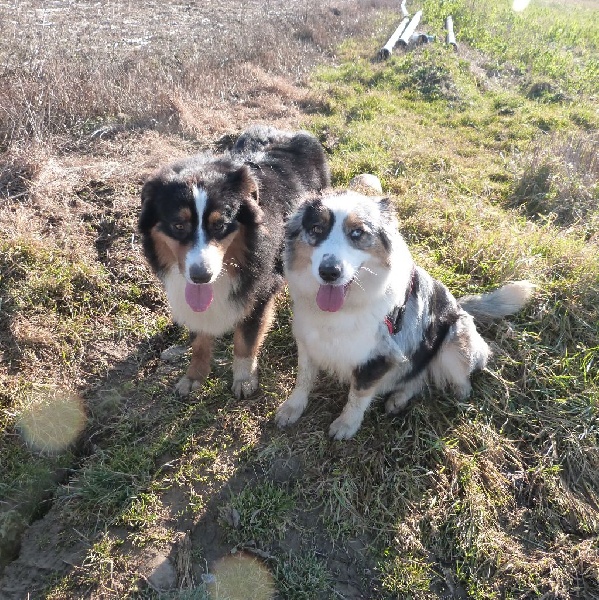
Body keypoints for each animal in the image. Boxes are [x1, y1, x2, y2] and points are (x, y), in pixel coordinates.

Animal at [138, 126, 330, 396]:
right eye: (178, 225)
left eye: (219, 225)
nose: (201, 276)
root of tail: (289, 131)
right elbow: (200, 338)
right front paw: (194, 376)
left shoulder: (259, 289)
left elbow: (245, 340)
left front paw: (244, 380)